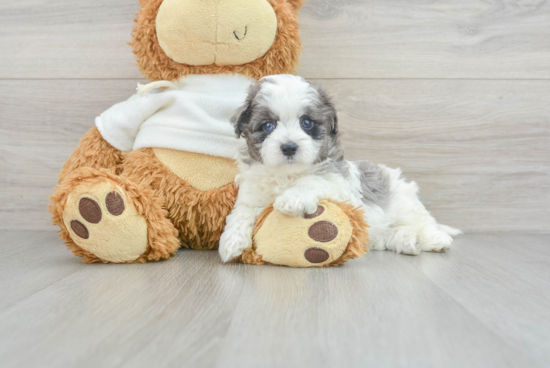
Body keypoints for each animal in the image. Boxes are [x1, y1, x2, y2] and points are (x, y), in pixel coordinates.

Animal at [220, 74, 462, 262]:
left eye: (307, 123)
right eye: (268, 125)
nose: (289, 147)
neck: (287, 175)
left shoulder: (338, 184)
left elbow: (312, 180)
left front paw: (292, 198)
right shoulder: (252, 195)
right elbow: (241, 212)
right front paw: (231, 241)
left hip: (405, 202)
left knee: (424, 222)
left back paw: (435, 239)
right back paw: (407, 240)